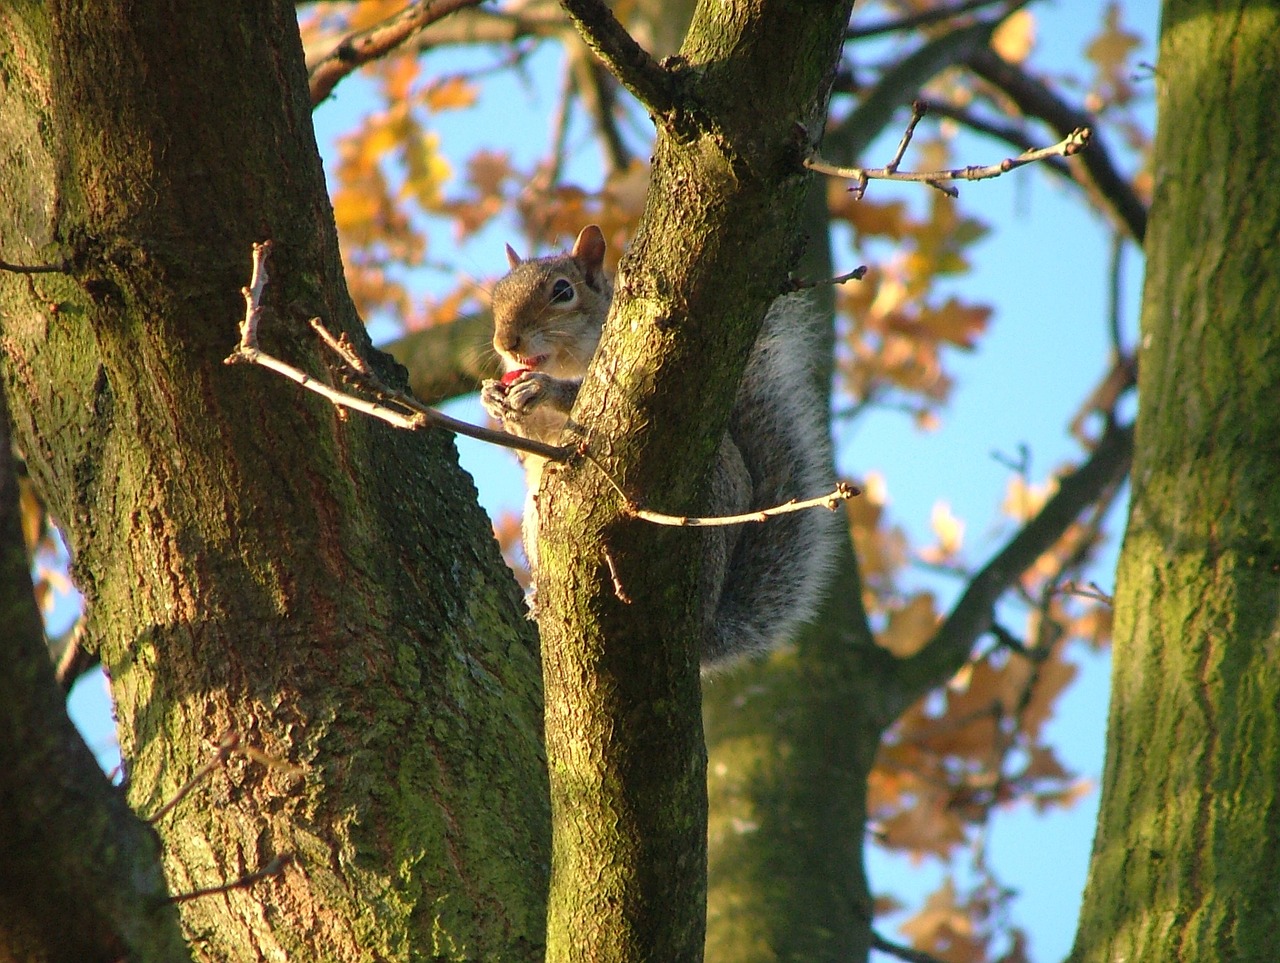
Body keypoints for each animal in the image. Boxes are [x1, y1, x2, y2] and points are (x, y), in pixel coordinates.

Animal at [481, 225, 839, 671]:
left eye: (563, 291)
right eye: (498, 295)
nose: (506, 341)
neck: (563, 360)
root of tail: (704, 629)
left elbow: (574, 396)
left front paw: (542, 388)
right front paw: (493, 399)